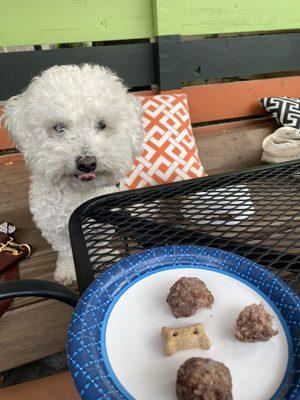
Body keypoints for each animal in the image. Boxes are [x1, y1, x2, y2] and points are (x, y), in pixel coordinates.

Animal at [4, 65, 145, 284]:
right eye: (59, 127)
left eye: (101, 125)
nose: (87, 164)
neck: (78, 192)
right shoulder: (54, 227)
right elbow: (66, 250)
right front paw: (67, 270)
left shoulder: (100, 224)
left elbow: (101, 243)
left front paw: (102, 260)